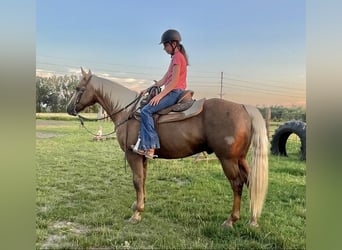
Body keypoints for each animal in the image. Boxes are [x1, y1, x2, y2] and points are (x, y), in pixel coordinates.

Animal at [65, 68, 268, 229]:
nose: (68, 108)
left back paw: (231, 220)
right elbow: (143, 179)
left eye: (78, 88)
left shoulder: (132, 155)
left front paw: (137, 214)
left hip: (228, 159)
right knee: (251, 181)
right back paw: (253, 219)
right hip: (240, 158)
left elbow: (136, 180)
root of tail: (244, 107)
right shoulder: (142, 156)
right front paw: (139, 204)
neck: (128, 112)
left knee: (237, 184)